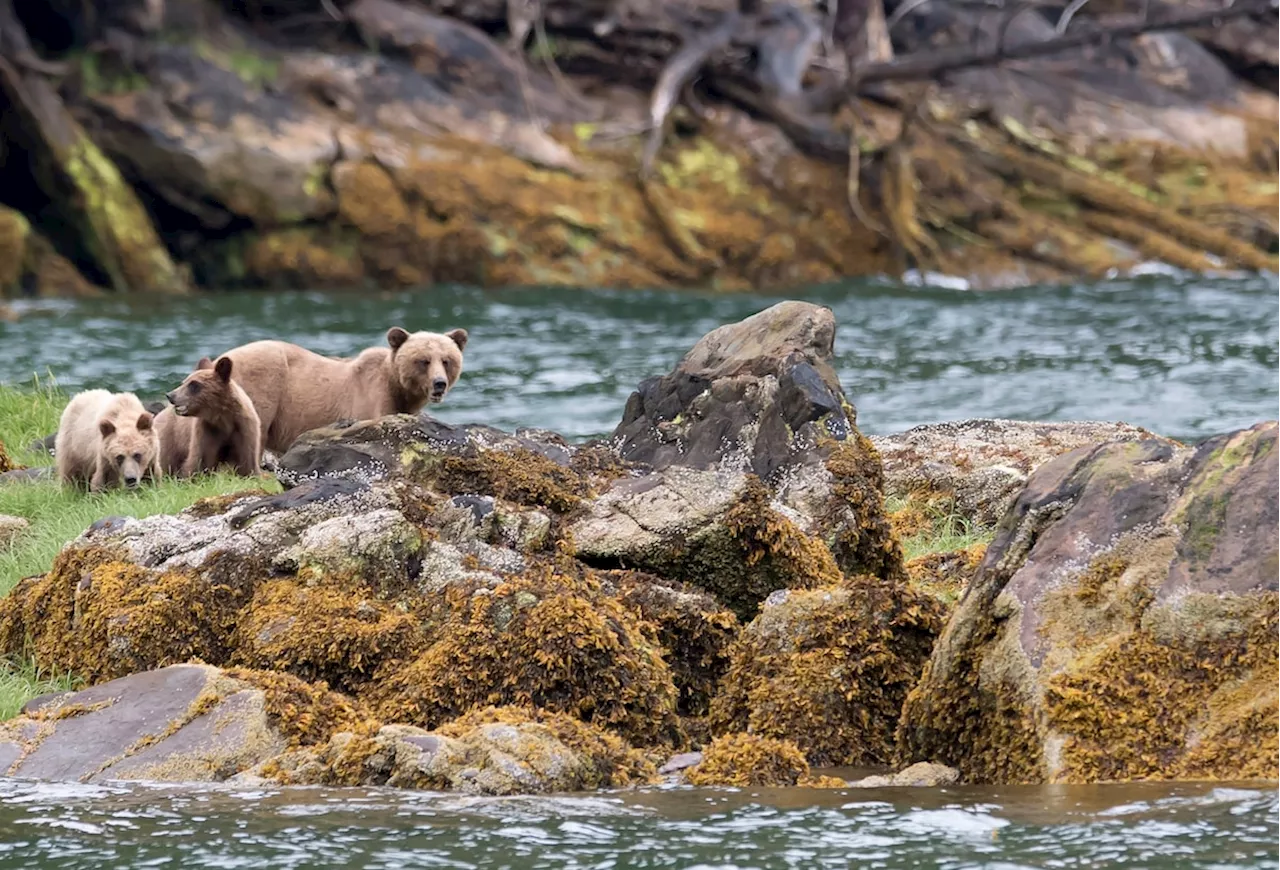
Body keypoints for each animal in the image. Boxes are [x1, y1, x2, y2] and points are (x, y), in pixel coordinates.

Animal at [215, 322, 471, 452]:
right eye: (423, 360)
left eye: (447, 360)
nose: (439, 383)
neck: (398, 387)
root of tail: (222, 357)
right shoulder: (371, 398)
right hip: (263, 382)